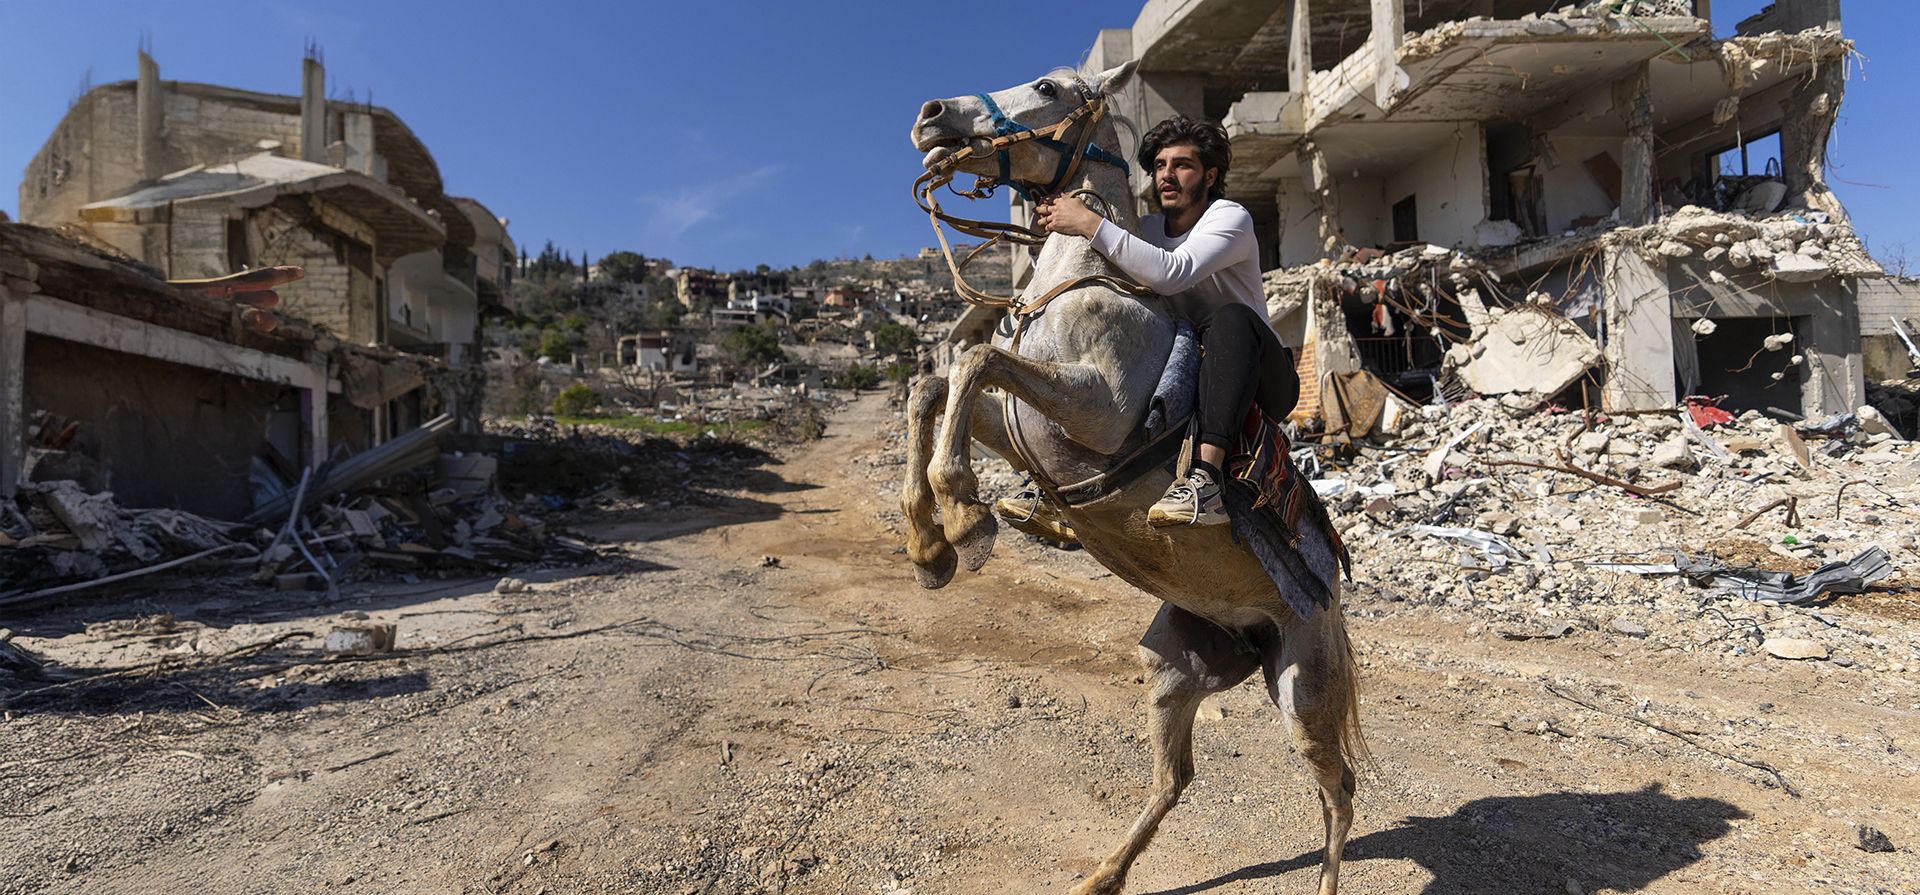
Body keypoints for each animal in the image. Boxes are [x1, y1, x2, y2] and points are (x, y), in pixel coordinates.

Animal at [905, 62, 1366, 895]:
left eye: (1048, 88)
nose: (931, 116)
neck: (1081, 285)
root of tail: (1329, 606)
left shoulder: (1099, 408)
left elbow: (974, 358)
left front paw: (963, 518)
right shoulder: (1025, 427)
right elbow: (935, 384)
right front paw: (929, 548)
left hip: (1303, 694)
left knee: (1338, 790)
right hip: (1174, 667)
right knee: (1175, 777)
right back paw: (1102, 875)